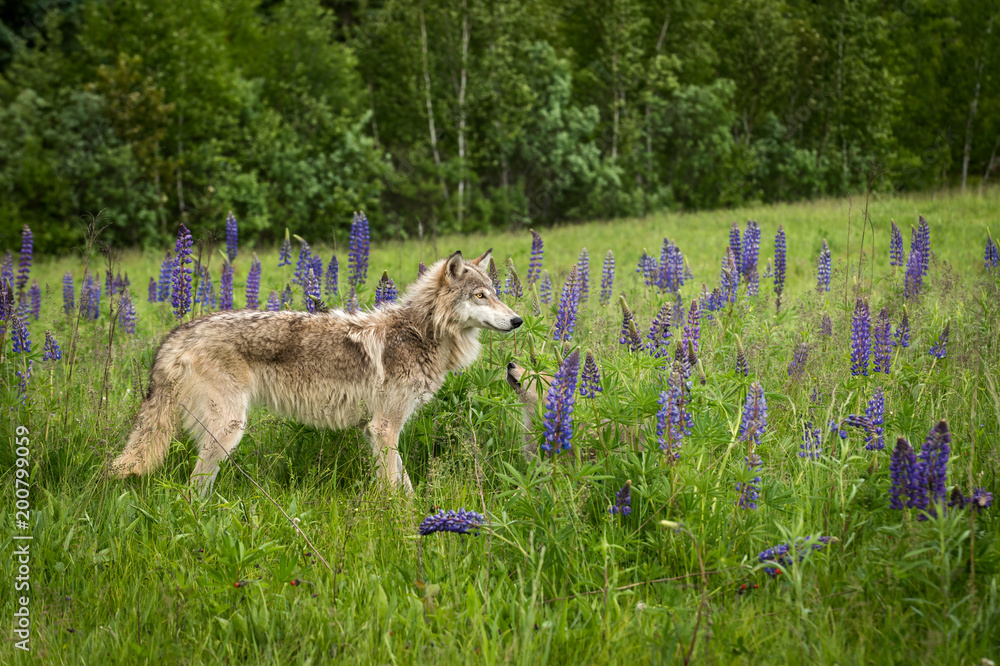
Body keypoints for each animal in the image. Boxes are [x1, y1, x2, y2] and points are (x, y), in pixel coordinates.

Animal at [112, 250, 521, 495]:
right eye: (480, 296)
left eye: (495, 292)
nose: (518, 320)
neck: (419, 333)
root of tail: (179, 333)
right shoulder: (384, 427)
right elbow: (396, 485)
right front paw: (404, 522)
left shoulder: (376, 430)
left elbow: (395, 480)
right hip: (228, 430)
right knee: (192, 491)